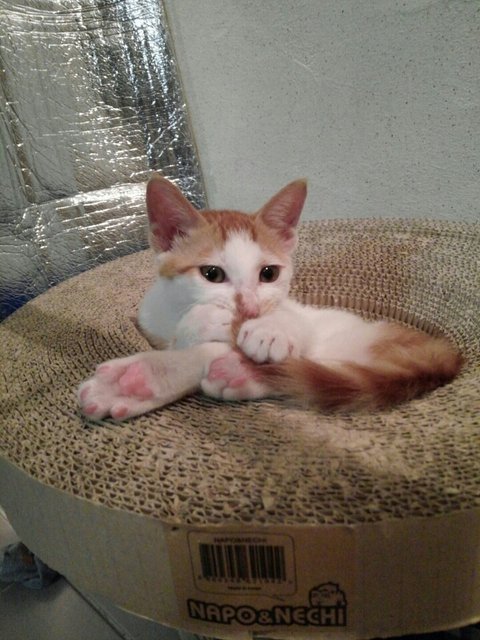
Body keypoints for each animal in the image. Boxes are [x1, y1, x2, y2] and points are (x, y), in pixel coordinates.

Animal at [78, 174, 462, 420]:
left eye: (269, 274)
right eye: (212, 274)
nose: (249, 308)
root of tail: (445, 353)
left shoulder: (298, 313)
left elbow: (290, 321)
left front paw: (269, 330)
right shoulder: (149, 321)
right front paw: (199, 325)